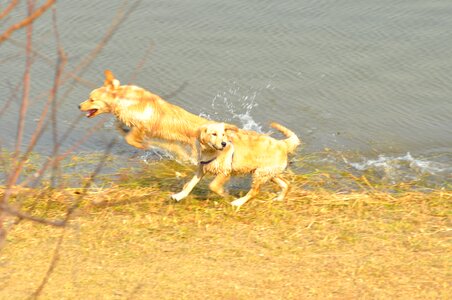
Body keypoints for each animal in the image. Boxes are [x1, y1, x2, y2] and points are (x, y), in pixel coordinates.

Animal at [171, 122, 302, 209]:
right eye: (214, 134)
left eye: (223, 134)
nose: (224, 143)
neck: (212, 152)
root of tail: (283, 144)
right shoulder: (202, 168)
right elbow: (190, 184)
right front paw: (179, 196)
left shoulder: (225, 172)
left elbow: (213, 185)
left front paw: (224, 193)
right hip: (269, 173)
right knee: (286, 183)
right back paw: (279, 198)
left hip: (260, 173)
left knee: (254, 191)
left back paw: (237, 202)